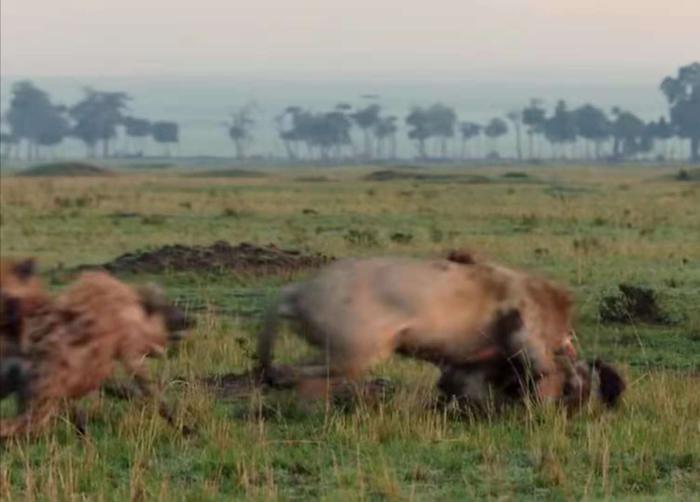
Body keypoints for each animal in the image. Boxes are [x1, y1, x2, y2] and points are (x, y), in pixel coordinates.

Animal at [0, 270, 191, 440]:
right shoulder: (124, 352)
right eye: (168, 308)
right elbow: (146, 389)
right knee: (17, 425)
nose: (191, 319)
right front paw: (185, 428)